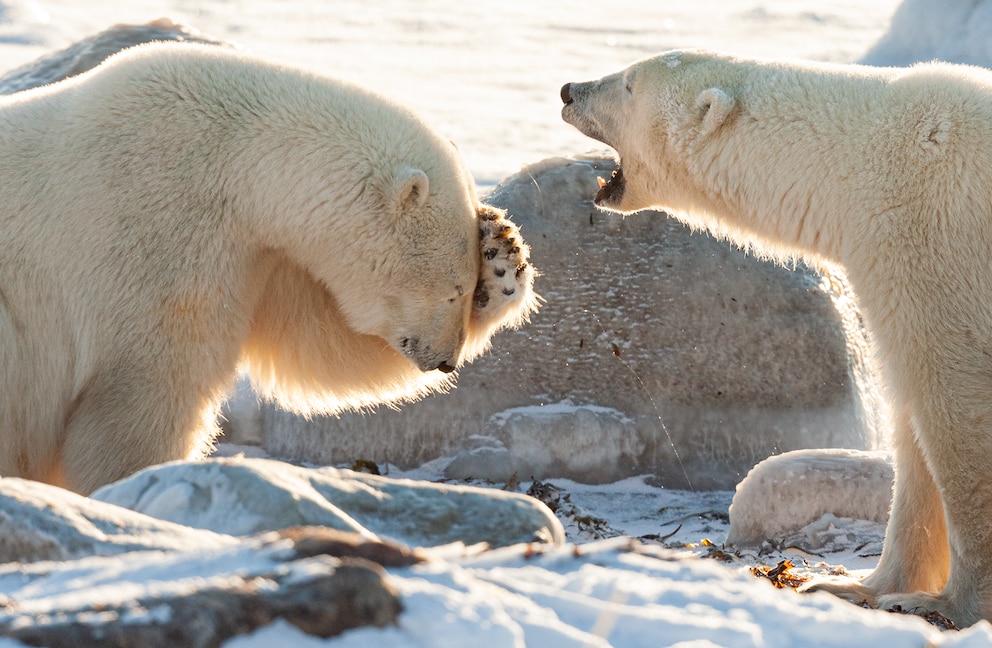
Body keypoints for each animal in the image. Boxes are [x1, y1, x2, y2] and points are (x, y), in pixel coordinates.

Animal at [0, 40, 540, 494]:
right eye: (452, 289)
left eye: (467, 289)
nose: (446, 359)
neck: (232, 160)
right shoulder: (157, 232)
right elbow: (147, 389)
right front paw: (138, 485)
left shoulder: (259, 254)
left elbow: (320, 341)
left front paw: (502, 254)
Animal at [564, 52, 992, 628]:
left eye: (628, 84)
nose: (568, 90)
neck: (860, 158)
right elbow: (913, 423)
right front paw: (860, 588)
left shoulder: (935, 241)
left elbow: (958, 409)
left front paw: (954, 603)